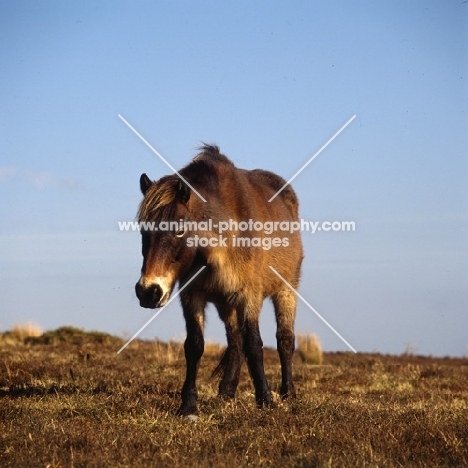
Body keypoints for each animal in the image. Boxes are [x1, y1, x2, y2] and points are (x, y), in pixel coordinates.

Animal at [135, 144, 304, 416]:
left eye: (179, 229)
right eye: (143, 230)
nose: (149, 291)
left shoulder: (249, 296)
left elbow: (255, 345)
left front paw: (265, 399)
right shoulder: (192, 295)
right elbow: (194, 346)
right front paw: (189, 406)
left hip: (286, 291)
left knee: (285, 340)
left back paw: (288, 393)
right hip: (227, 304)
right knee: (235, 341)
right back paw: (227, 391)